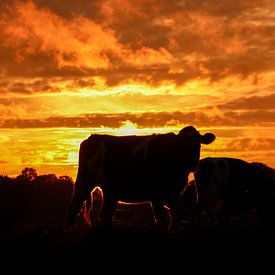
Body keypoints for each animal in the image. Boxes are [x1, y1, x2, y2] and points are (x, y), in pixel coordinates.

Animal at [66, 126, 216, 230]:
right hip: (84, 181)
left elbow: (176, 214)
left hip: (110, 190)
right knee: (74, 207)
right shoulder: (155, 193)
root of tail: (91, 137)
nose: (193, 163)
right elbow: (161, 219)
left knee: (105, 214)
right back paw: (69, 230)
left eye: (198, 143)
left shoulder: (174, 192)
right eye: (182, 144)